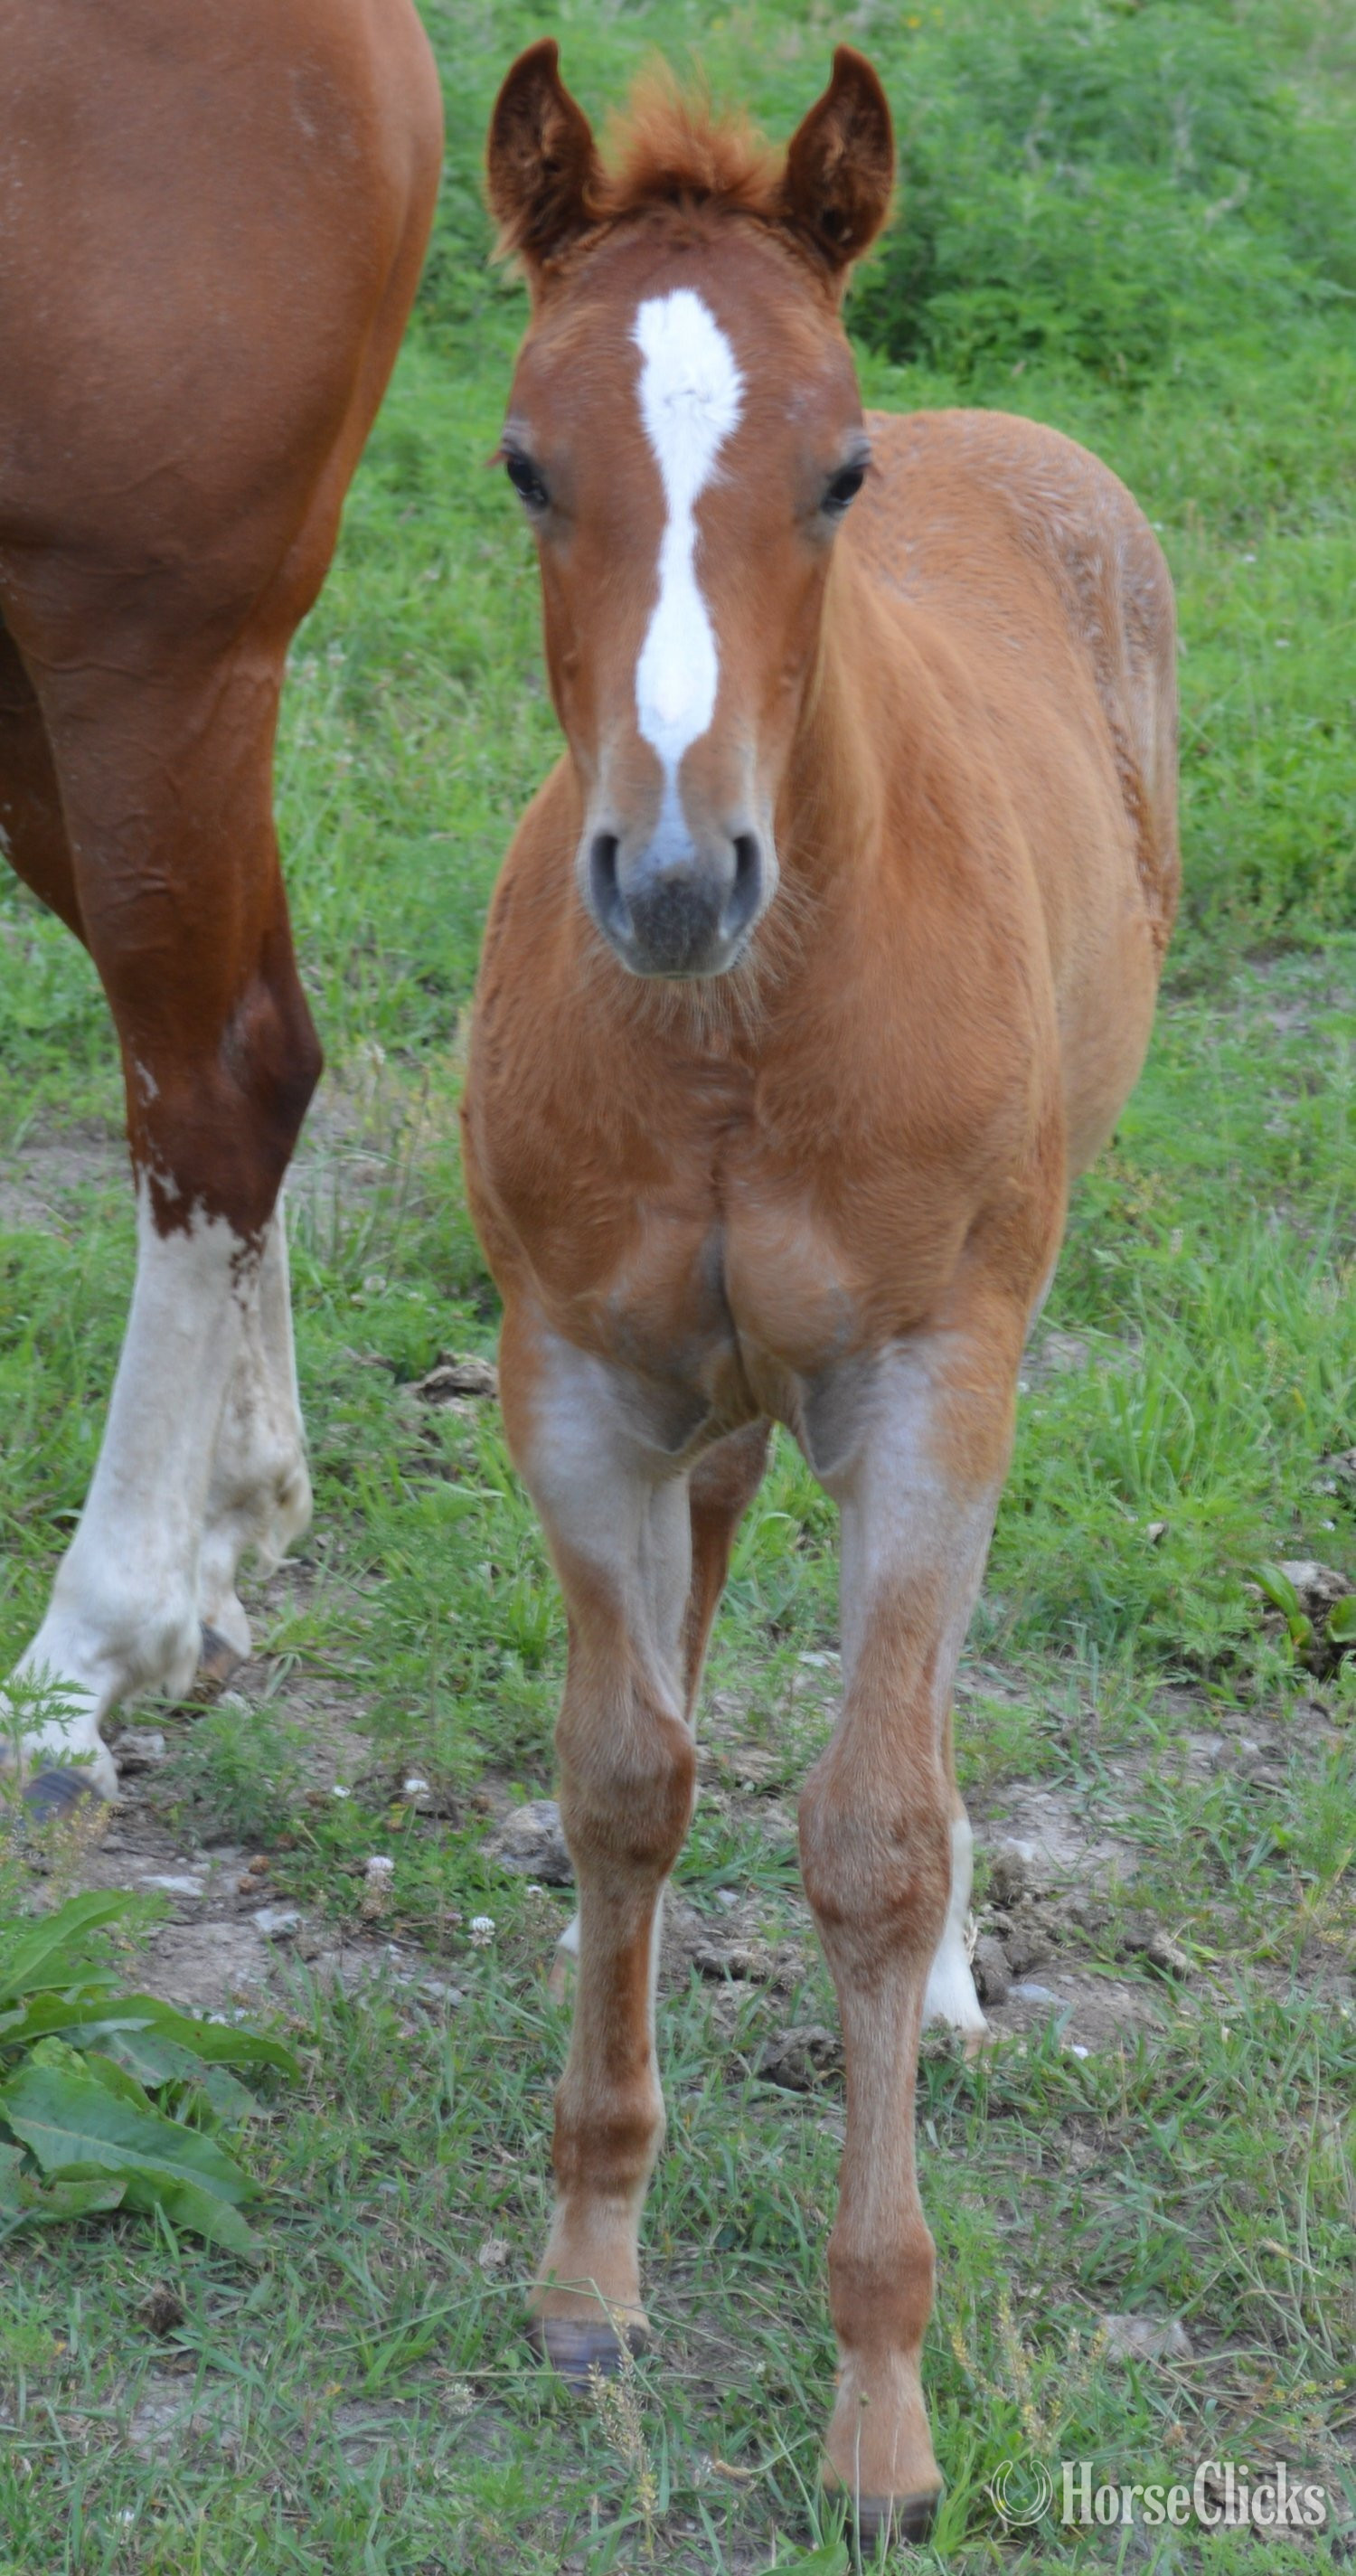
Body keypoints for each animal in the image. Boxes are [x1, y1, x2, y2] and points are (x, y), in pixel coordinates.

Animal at [463, 40, 1179, 2543]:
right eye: (523, 458)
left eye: (838, 466)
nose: (676, 877)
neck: (732, 1029)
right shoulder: (573, 1380)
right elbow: (623, 1774)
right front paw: (588, 2268)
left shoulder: (925, 1378)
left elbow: (873, 1832)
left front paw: (885, 2416)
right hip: (709, 1390)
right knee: (692, 1610)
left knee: (921, 1710)